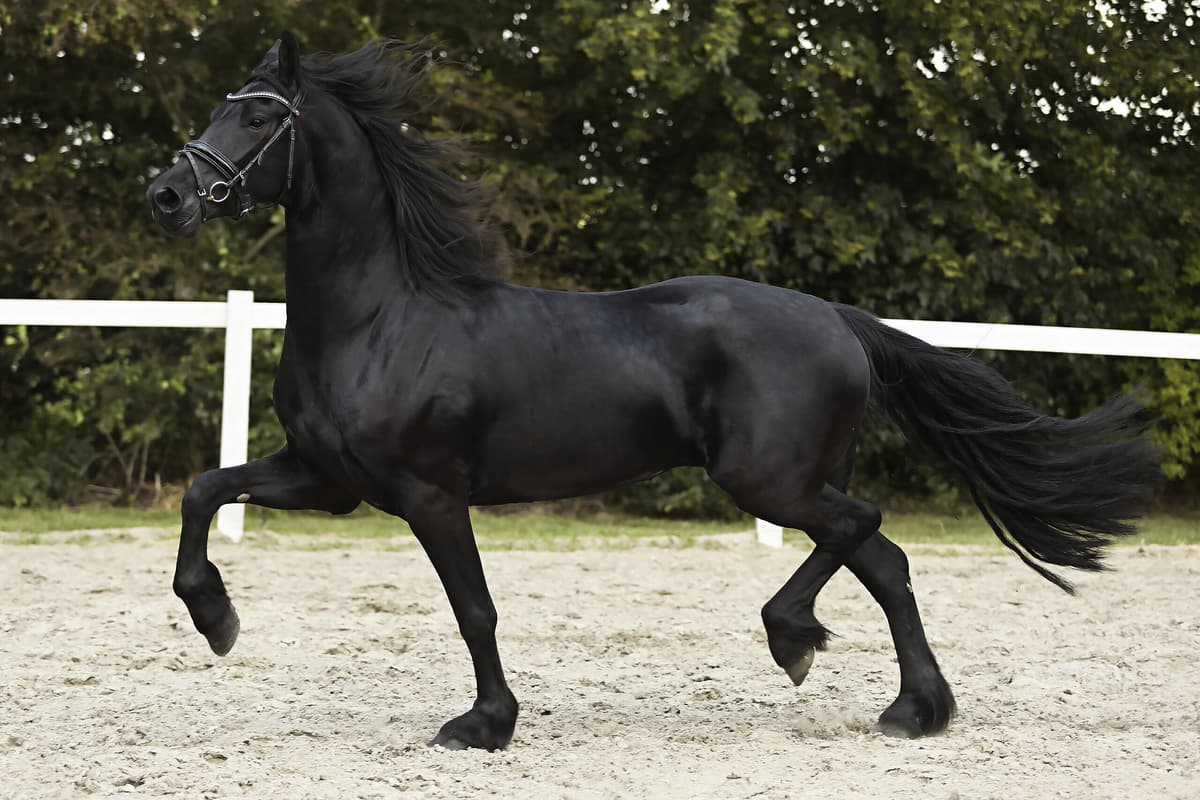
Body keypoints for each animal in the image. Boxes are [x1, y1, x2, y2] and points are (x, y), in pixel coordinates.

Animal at [147, 33, 1160, 751]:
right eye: (220, 107)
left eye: (260, 118)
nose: (167, 196)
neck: (378, 318)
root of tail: (839, 319)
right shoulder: (328, 481)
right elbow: (204, 491)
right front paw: (217, 619)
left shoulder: (428, 495)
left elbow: (475, 609)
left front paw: (484, 726)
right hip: (793, 481)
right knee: (886, 559)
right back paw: (913, 709)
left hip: (770, 480)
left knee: (863, 529)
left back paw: (797, 641)